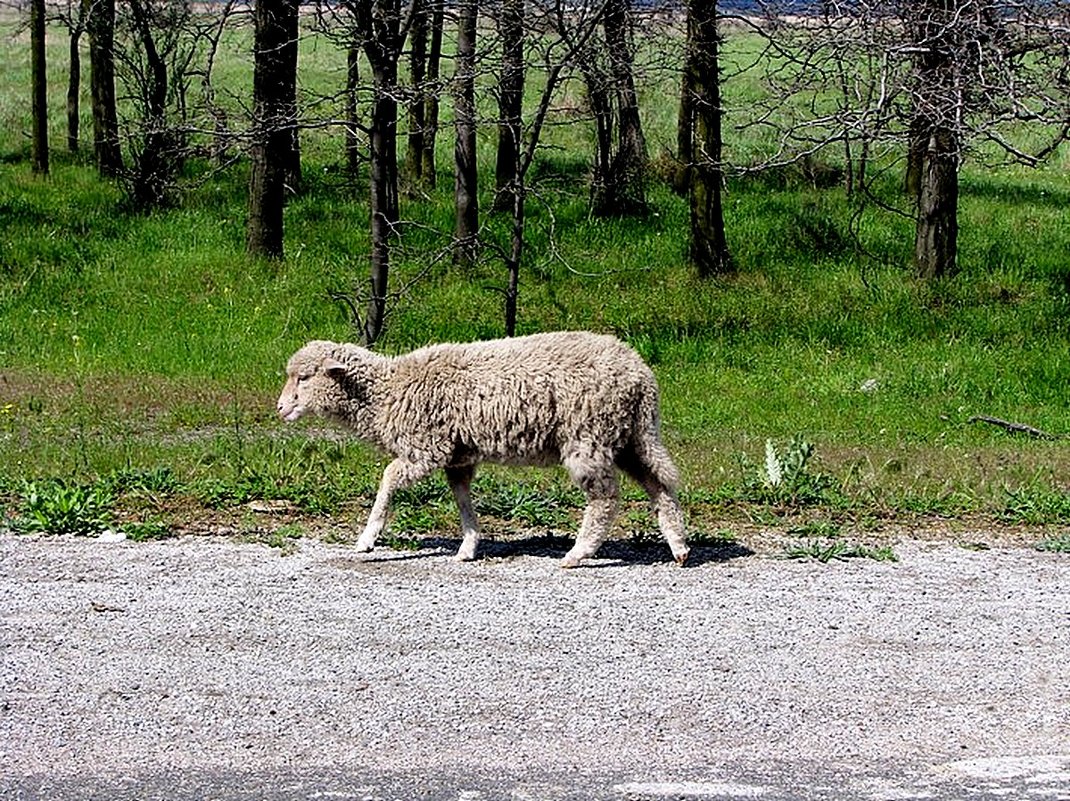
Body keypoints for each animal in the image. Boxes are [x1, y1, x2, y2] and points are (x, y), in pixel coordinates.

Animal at [276, 331, 689, 568]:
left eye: (305, 378)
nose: (280, 408)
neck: (388, 392)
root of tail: (641, 374)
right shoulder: (458, 455)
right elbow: (462, 498)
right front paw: (470, 544)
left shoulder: (426, 447)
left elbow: (388, 480)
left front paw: (366, 540)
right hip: (628, 437)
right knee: (659, 485)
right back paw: (679, 548)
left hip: (589, 436)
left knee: (605, 498)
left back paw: (578, 553)